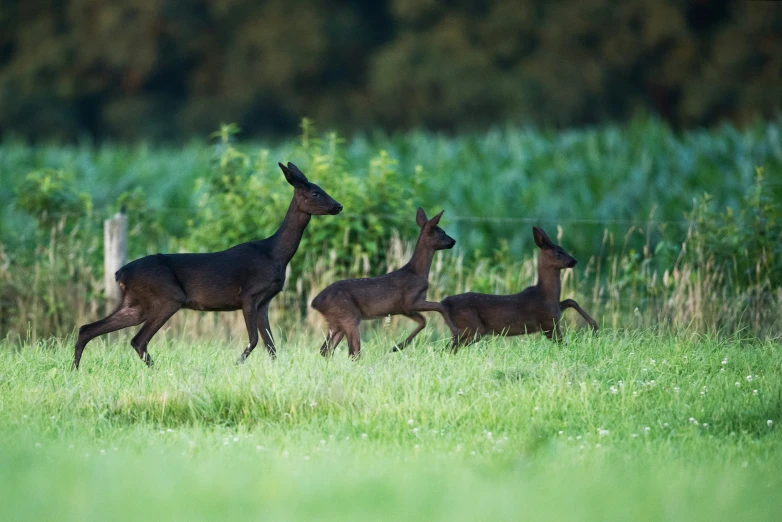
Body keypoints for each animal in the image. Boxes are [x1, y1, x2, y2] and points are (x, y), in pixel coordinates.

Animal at [73, 160, 344, 368]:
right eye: (315, 192)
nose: (339, 205)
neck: (275, 254)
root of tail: (120, 273)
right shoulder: (249, 294)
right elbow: (254, 340)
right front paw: (237, 364)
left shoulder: (265, 300)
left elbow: (271, 344)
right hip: (167, 296)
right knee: (138, 340)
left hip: (135, 303)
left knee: (88, 328)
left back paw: (75, 369)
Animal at [312, 207, 460, 358]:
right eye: (442, 232)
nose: (453, 241)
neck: (417, 272)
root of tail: (315, 302)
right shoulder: (410, 301)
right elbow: (438, 306)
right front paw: (456, 332)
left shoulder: (404, 309)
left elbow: (423, 321)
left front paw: (398, 346)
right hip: (348, 314)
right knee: (353, 352)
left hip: (335, 320)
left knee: (326, 350)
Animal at [440, 223, 600, 350]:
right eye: (558, 253)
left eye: (564, 249)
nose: (574, 261)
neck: (546, 294)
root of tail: (444, 303)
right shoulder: (548, 323)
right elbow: (564, 344)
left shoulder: (555, 313)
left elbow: (571, 301)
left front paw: (595, 326)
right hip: (472, 327)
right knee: (450, 348)